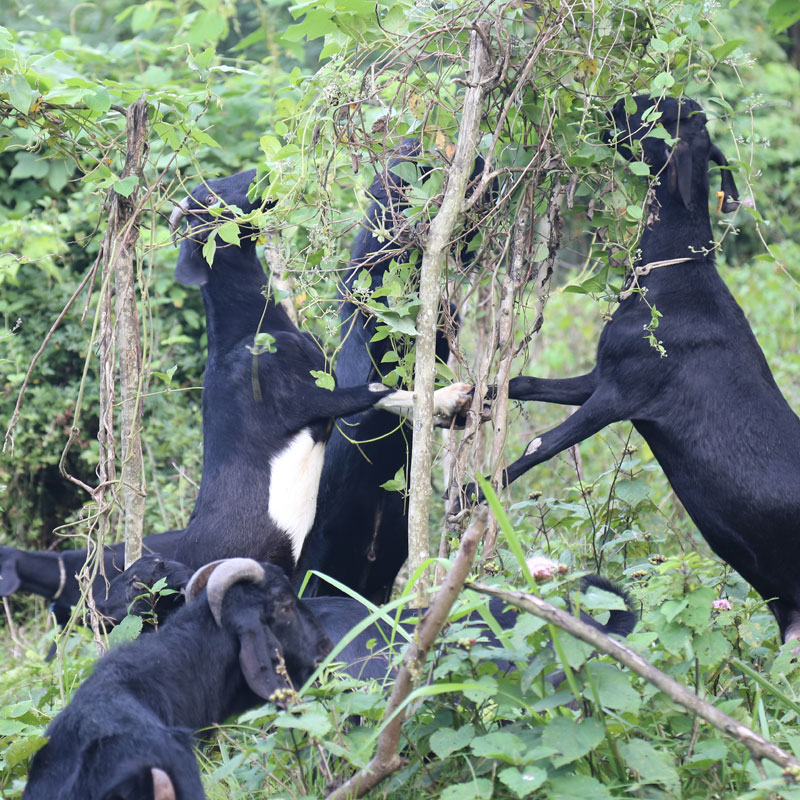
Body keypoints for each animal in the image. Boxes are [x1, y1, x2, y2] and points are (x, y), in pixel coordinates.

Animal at [166, 172, 472, 580]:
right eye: (210, 199)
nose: (259, 175)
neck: (247, 328)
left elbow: (382, 398)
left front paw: (450, 401)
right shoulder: (297, 401)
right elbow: (373, 390)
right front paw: (447, 398)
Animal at [472, 92, 800, 644]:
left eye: (656, 115)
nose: (605, 108)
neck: (672, 278)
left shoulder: (623, 393)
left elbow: (541, 444)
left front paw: (469, 493)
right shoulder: (601, 376)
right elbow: (522, 381)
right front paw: (452, 408)